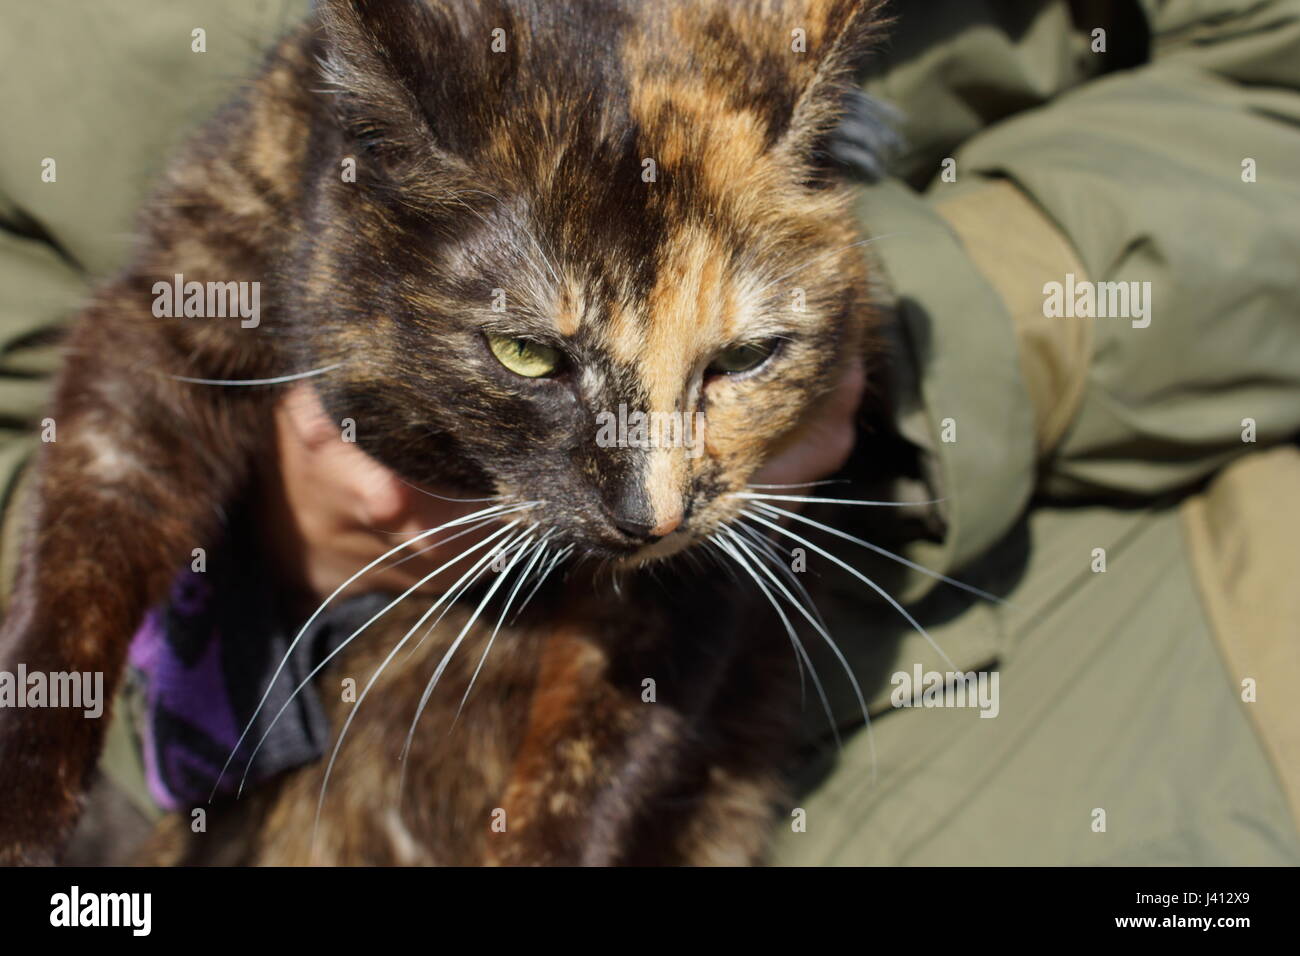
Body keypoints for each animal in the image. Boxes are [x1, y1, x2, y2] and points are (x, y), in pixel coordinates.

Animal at [0, 0, 883, 868]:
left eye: (744, 358)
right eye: (526, 354)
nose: (650, 517)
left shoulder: (706, 565)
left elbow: (599, 756)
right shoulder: (178, 302)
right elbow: (92, 521)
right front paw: (24, 785)